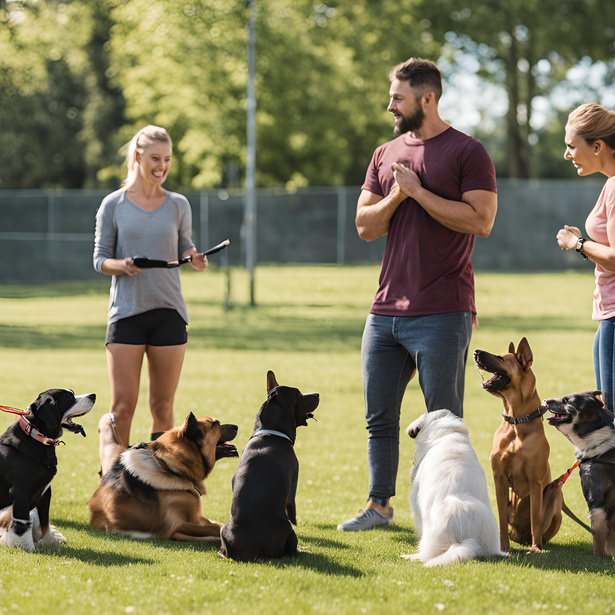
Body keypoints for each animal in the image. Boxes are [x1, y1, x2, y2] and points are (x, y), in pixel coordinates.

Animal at [0, 388, 95, 552]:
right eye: (68, 397)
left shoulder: (45, 490)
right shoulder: (20, 491)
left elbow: (44, 520)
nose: (93, 395)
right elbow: (22, 523)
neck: (36, 437)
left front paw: (50, 542)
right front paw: (26, 547)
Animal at [89, 416, 238, 540]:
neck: (169, 468)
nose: (237, 426)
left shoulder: (196, 518)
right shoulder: (177, 524)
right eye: (215, 424)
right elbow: (216, 528)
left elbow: (216, 525)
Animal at [219, 370, 320, 564]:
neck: (270, 432)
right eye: (299, 394)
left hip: (224, 529)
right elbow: (293, 508)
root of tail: (258, 552)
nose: (317, 394)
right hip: (288, 530)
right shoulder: (293, 485)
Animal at [474, 340, 588, 556]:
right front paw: (503, 548)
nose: (475, 351)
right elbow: (501, 519)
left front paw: (536, 548)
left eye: (501, 358)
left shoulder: (535, 482)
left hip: (556, 493)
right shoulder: (499, 479)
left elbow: (535, 518)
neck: (516, 422)